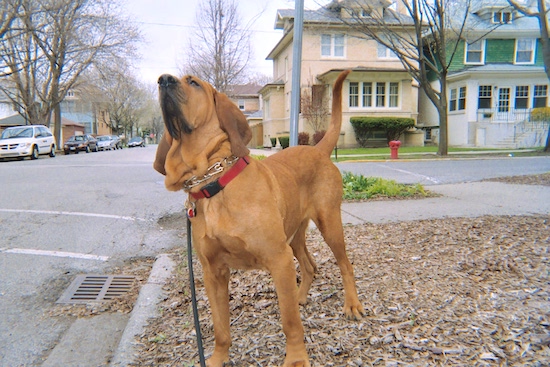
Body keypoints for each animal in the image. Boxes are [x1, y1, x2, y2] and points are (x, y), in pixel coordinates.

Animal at [155, 70, 364, 366]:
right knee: (309, 266)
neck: (214, 182)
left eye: (193, 82)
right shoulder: (213, 272)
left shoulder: (278, 259)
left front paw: (296, 358)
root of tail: (318, 149)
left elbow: (290, 322)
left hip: (329, 225)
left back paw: (352, 304)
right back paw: (301, 297)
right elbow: (220, 327)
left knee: (345, 266)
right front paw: (218, 358)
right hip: (294, 236)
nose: (163, 80)